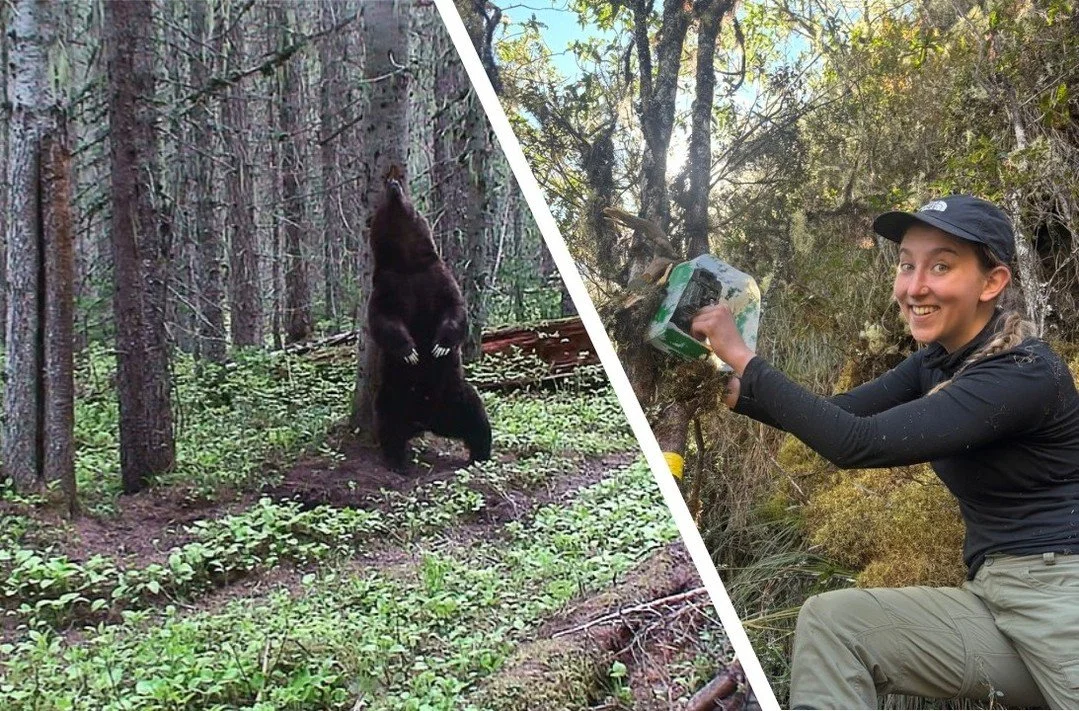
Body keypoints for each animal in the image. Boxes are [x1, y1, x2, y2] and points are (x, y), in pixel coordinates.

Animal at [366, 169, 492, 470]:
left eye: (410, 202)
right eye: (382, 203)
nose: (394, 184)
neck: (407, 262)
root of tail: (426, 420)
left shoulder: (436, 277)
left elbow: (455, 308)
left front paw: (440, 346)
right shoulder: (388, 285)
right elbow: (383, 319)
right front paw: (410, 351)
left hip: (455, 394)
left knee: (476, 416)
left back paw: (480, 455)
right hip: (394, 393)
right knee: (388, 422)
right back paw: (398, 462)